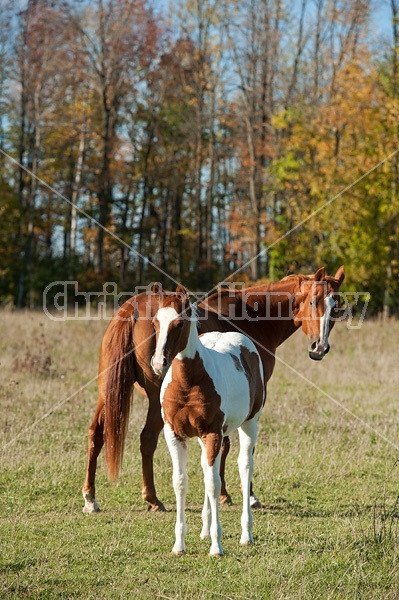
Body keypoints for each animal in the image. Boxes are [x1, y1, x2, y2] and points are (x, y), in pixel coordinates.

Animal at [81, 264, 344, 512]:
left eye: (336, 308)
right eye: (314, 301)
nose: (319, 347)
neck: (251, 318)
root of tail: (131, 308)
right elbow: (237, 447)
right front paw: (244, 495)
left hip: (106, 393)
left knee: (95, 434)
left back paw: (90, 497)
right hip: (156, 400)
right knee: (147, 439)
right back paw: (153, 498)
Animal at [153, 284, 266, 556]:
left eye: (179, 323)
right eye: (154, 322)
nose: (158, 363)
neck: (187, 383)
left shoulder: (213, 433)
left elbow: (214, 484)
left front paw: (217, 546)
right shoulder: (174, 434)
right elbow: (180, 482)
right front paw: (179, 545)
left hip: (249, 424)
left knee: (244, 466)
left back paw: (246, 534)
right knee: (207, 468)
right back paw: (204, 530)